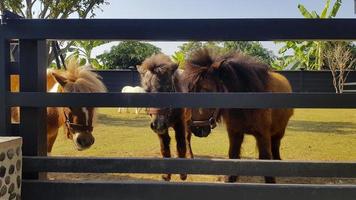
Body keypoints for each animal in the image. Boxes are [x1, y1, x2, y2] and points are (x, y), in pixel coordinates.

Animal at [138, 53, 195, 181]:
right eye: (146, 90)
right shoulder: (160, 129)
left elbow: (181, 145)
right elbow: (164, 148)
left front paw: (183, 174)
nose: (158, 124)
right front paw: (166, 175)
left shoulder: (180, 124)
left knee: (188, 138)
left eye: (168, 88)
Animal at [182, 48, 294, 183]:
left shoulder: (263, 135)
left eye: (207, 90)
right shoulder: (234, 133)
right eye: (190, 91)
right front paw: (231, 179)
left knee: (276, 144)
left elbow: (266, 158)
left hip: (280, 130)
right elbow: (233, 155)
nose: (196, 129)